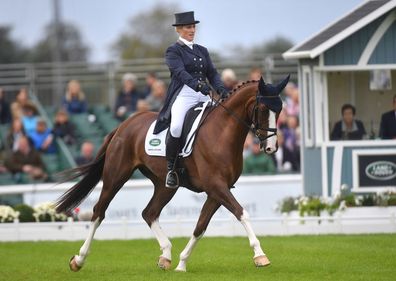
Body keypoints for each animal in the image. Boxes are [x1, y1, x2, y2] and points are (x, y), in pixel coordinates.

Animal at [55, 75, 288, 272]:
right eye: (263, 108)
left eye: (280, 110)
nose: (271, 148)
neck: (222, 133)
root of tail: (124, 124)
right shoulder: (216, 186)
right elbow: (242, 213)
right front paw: (260, 255)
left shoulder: (217, 191)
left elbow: (200, 227)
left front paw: (182, 264)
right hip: (116, 176)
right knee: (98, 212)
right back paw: (78, 260)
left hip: (165, 185)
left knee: (149, 213)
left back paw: (166, 256)